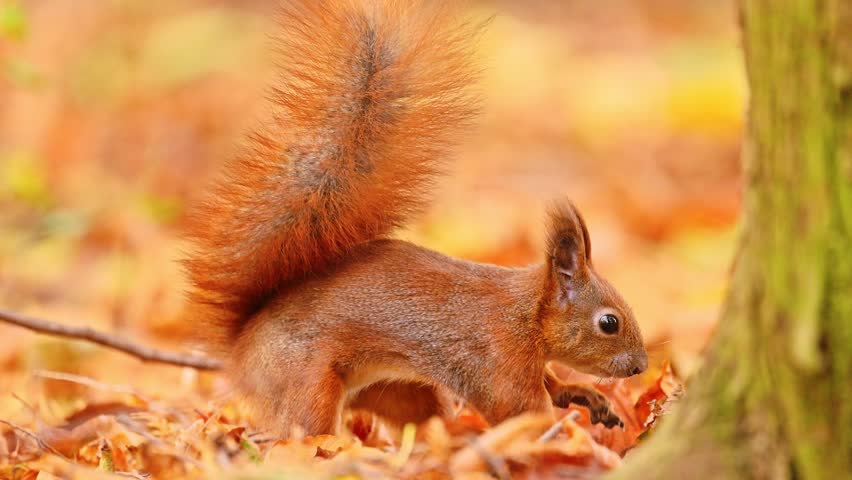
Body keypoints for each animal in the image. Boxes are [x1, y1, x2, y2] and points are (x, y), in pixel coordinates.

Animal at [183, 0, 647, 437]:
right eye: (609, 323)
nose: (641, 366)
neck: (525, 318)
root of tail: (241, 347)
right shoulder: (496, 361)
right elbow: (518, 409)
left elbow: (551, 385)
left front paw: (586, 397)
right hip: (306, 382)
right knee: (300, 431)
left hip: (397, 390)